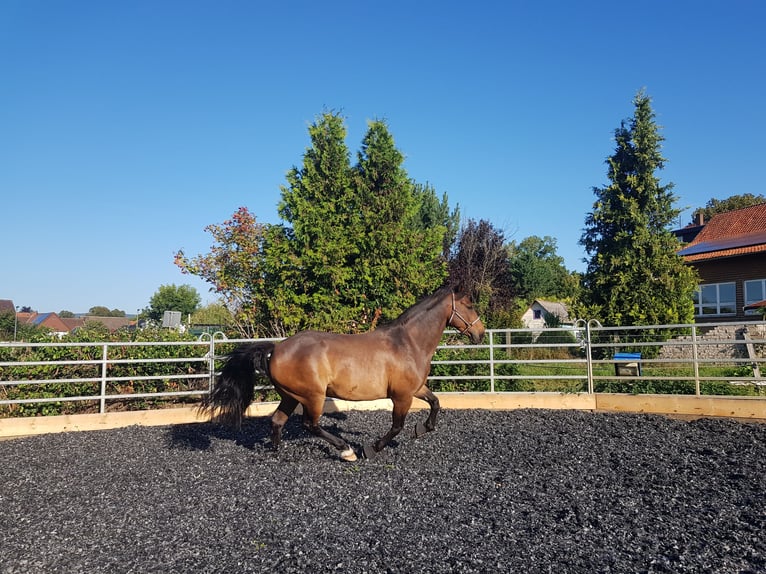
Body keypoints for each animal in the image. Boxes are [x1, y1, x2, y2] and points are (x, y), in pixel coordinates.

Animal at [201, 288, 484, 464]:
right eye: (469, 305)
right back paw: (346, 450)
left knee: (278, 420)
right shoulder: (402, 396)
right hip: (312, 396)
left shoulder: (415, 389)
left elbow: (436, 403)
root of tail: (277, 348)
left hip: (290, 396)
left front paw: (422, 428)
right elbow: (396, 426)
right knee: (310, 425)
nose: (480, 333)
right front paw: (370, 449)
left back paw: (276, 451)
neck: (407, 343)